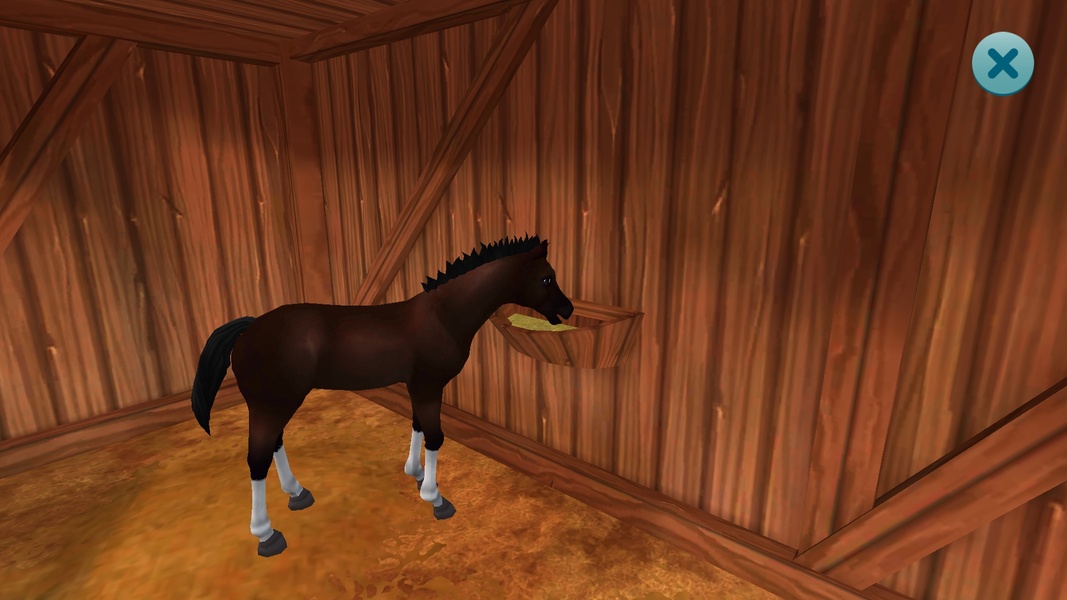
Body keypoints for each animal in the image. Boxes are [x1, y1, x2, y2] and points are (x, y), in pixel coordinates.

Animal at [190, 235, 574, 557]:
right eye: (546, 278)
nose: (568, 310)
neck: (442, 316)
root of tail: (249, 329)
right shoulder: (428, 386)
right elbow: (435, 437)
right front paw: (436, 499)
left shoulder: (418, 386)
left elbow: (418, 427)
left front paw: (416, 474)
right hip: (271, 404)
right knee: (257, 460)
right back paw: (267, 535)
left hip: (276, 403)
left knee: (274, 445)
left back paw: (298, 493)